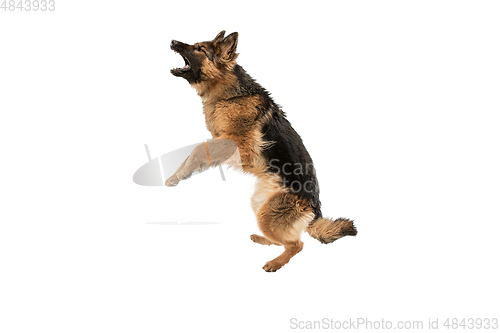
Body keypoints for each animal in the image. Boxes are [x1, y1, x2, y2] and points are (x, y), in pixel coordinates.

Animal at [167, 30, 356, 270]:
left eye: (199, 49)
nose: (173, 41)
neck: (232, 93)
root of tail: (315, 209)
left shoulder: (238, 146)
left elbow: (198, 149)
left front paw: (180, 174)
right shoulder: (221, 140)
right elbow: (195, 153)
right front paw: (175, 175)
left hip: (268, 214)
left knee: (297, 244)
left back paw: (275, 263)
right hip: (260, 205)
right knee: (286, 239)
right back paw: (263, 240)